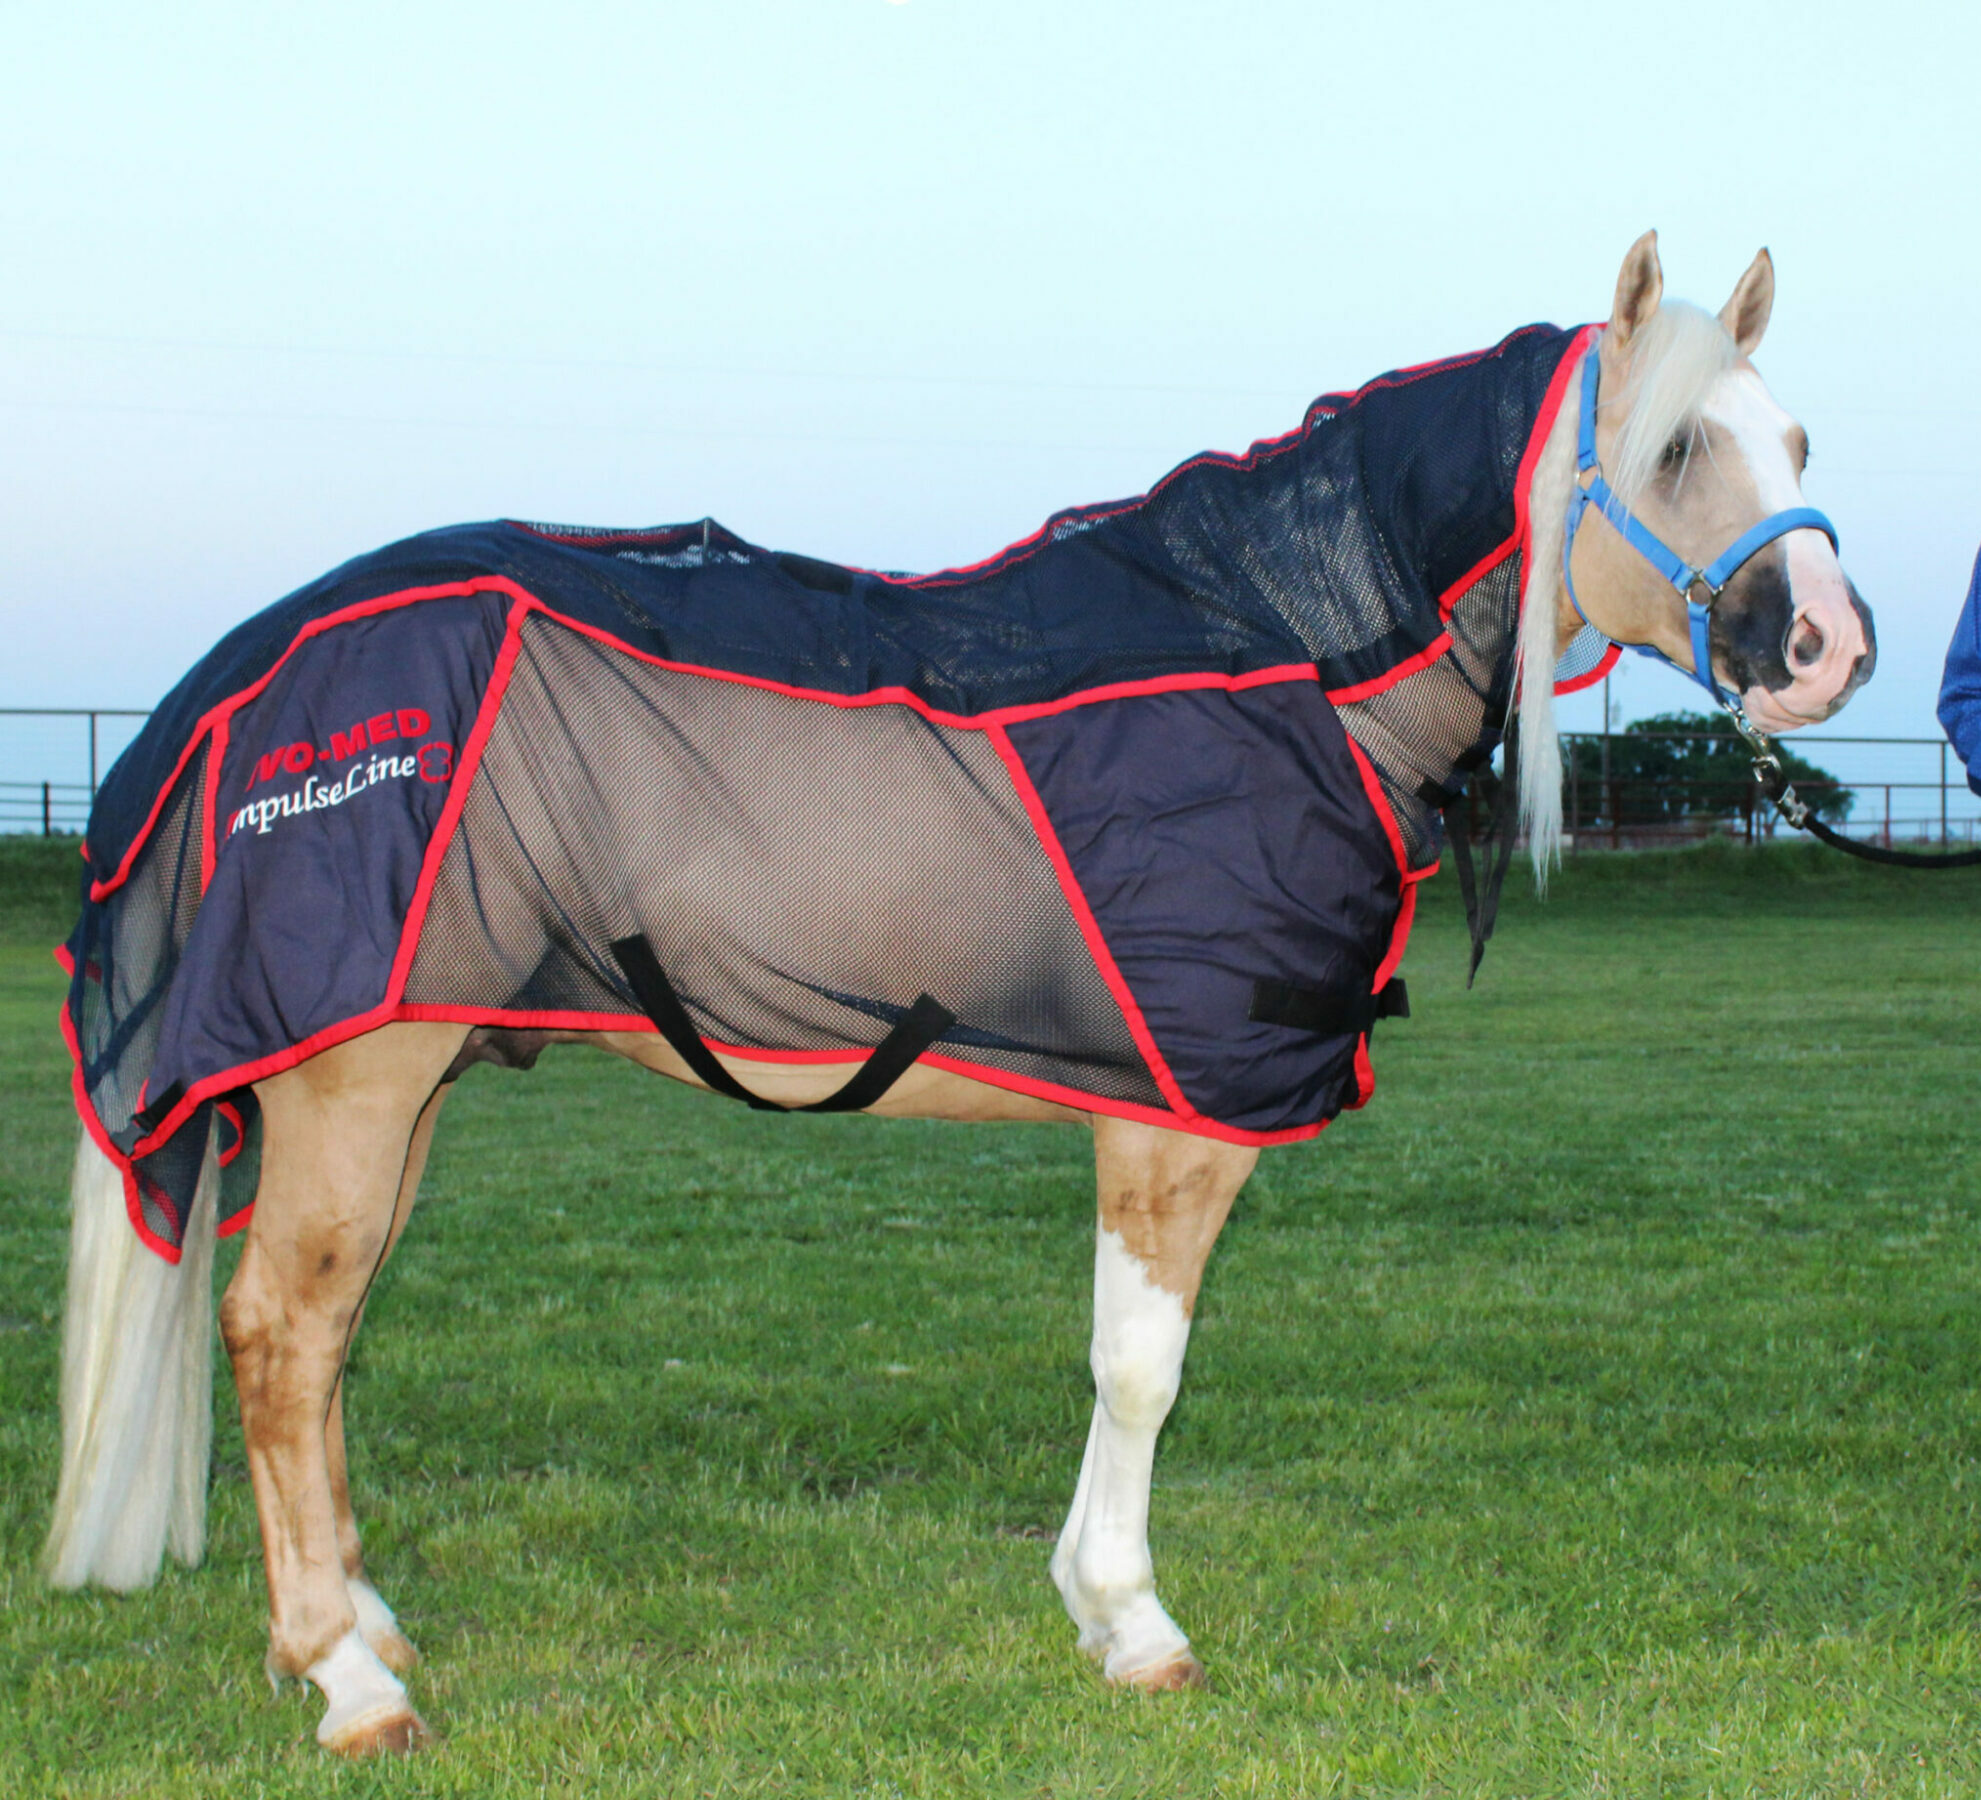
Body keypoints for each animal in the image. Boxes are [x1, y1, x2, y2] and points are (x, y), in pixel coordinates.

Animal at [44, 233, 1875, 1755]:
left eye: (1795, 444)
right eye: (1677, 447)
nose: (1829, 649)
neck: (1280, 648)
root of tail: (249, 668)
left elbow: (1125, 1362)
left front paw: (1091, 1604)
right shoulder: (1177, 1117)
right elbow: (1141, 1367)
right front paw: (1134, 1625)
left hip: (395, 1083)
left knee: (325, 1338)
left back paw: (357, 1626)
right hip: (355, 1083)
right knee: (283, 1335)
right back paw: (345, 1682)